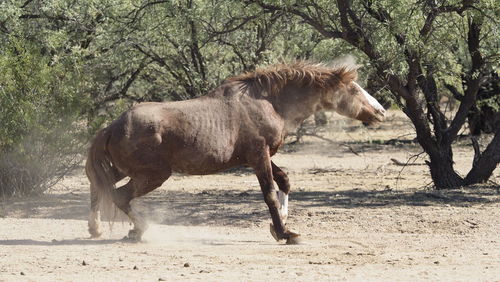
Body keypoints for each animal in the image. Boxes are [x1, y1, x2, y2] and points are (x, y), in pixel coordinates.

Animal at [86, 60, 384, 243]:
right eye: (354, 89)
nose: (380, 112)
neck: (268, 102)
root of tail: (112, 126)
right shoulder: (258, 156)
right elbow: (269, 194)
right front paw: (283, 233)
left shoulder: (261, 157)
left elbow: (284, 180)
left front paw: (282, 223)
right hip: (153, 175)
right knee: (119, 195)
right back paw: (138, 230)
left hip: (122, 169)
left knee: (98, 186)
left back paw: (96, 228)